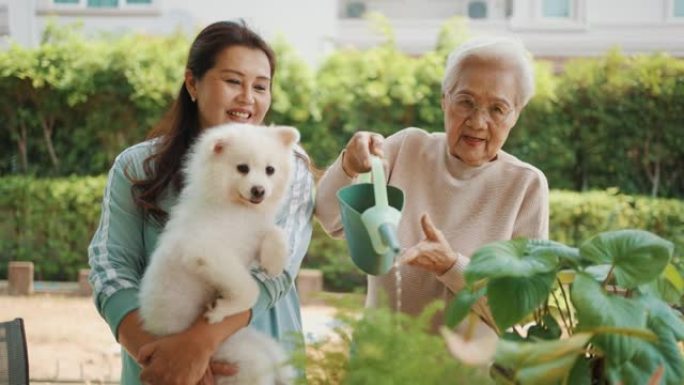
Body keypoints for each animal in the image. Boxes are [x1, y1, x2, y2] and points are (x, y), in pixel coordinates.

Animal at [139, 123, 300, 384]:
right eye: (242, 168)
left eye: (270, 170)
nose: (259, 190)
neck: (237, 208)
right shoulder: (205, 250)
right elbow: (249, 288)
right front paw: (220, 310)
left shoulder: (254, 233)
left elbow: (275, 232)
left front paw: (274, 263)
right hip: (234, 356)